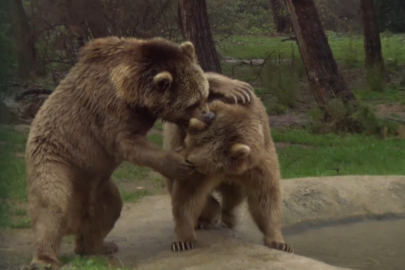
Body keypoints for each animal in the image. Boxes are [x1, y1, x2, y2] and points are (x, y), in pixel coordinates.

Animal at [25, 36, 251, 270]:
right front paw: (178, 163)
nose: (208, 116)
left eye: (204, 96)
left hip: (99, 183)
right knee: (52, 206)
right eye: (192, 104)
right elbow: (130, 144)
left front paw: (237, 88)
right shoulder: (107, 112)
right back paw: (45, 259)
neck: (131, 92)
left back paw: (98, 246)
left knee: (110, 209)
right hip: (59, 159)